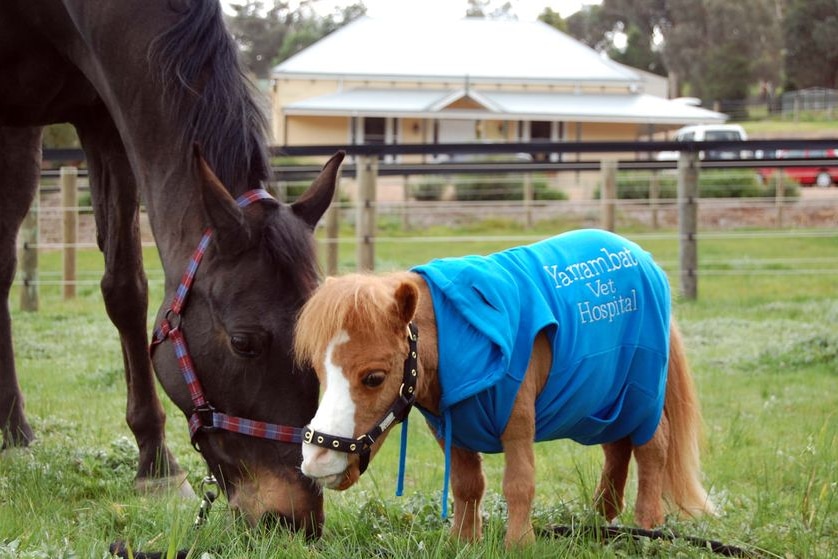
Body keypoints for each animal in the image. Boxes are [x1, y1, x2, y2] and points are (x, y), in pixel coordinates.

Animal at [0, 0, 342, 540]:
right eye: (243, 343)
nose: (292, 519)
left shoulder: (106, 114)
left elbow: (125, 288)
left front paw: (156, 465)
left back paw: (13, 430)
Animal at [296, 231, 716, 548]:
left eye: (373, 378)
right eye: (318, 370)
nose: (316, 462)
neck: (460, 342)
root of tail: (644, 259)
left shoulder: (517, 416)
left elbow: (518, 483)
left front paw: (519, 543)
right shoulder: (450, 426)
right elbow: (466, 485)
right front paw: (463, 541)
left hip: (641, 393)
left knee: (652, 447)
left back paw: (646, 525)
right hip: (603, 402)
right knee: (617, 448)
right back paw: (601, 521)